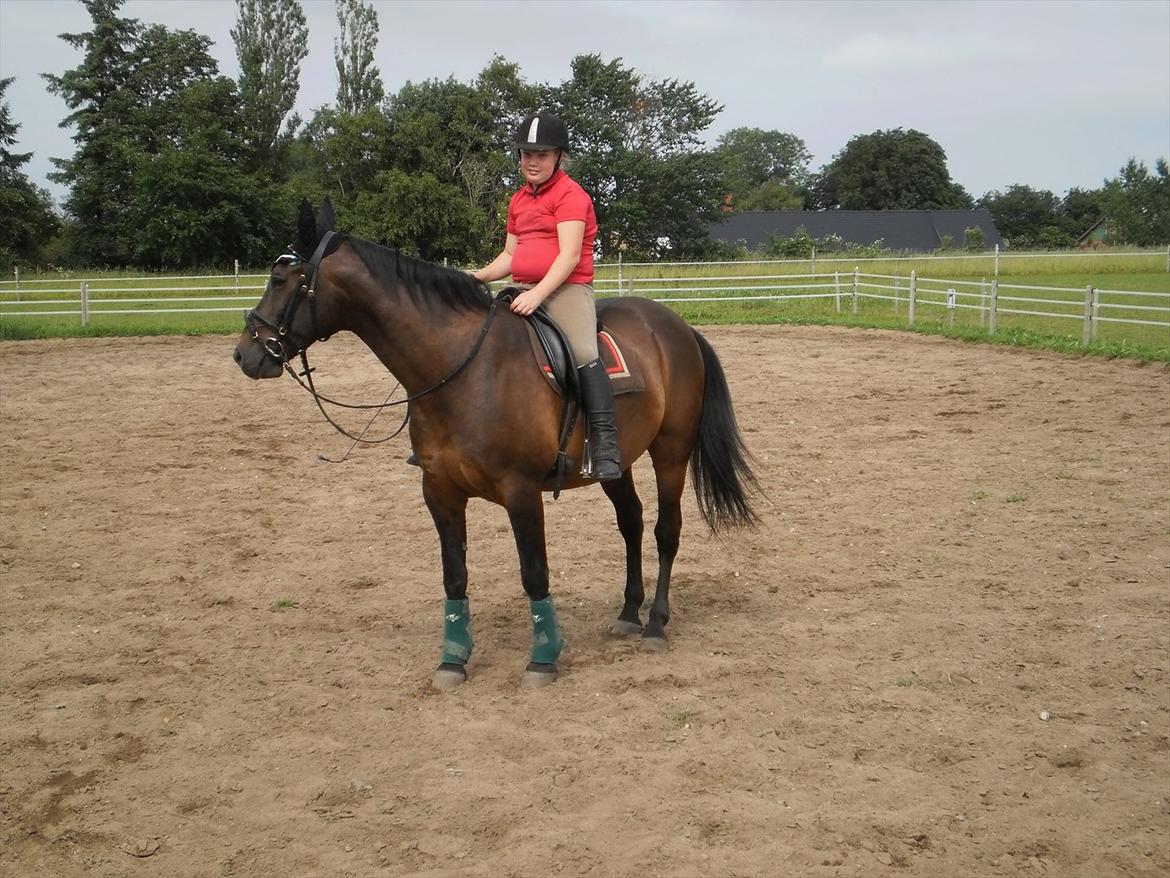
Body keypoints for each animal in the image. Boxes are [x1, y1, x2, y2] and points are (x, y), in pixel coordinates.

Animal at [235, 199, 758, 688]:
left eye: (282, 279)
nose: (245, 354)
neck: (463, 369)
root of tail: (677, 326)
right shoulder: (439, 492)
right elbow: (455, 575)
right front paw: (453, 659)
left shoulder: (521, 492)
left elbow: (534, 573)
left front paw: (543, 657)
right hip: (617, 462)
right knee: (630, 522)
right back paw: (629, 615)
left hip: (670, 452)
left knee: (666, 531)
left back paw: (654, 625)